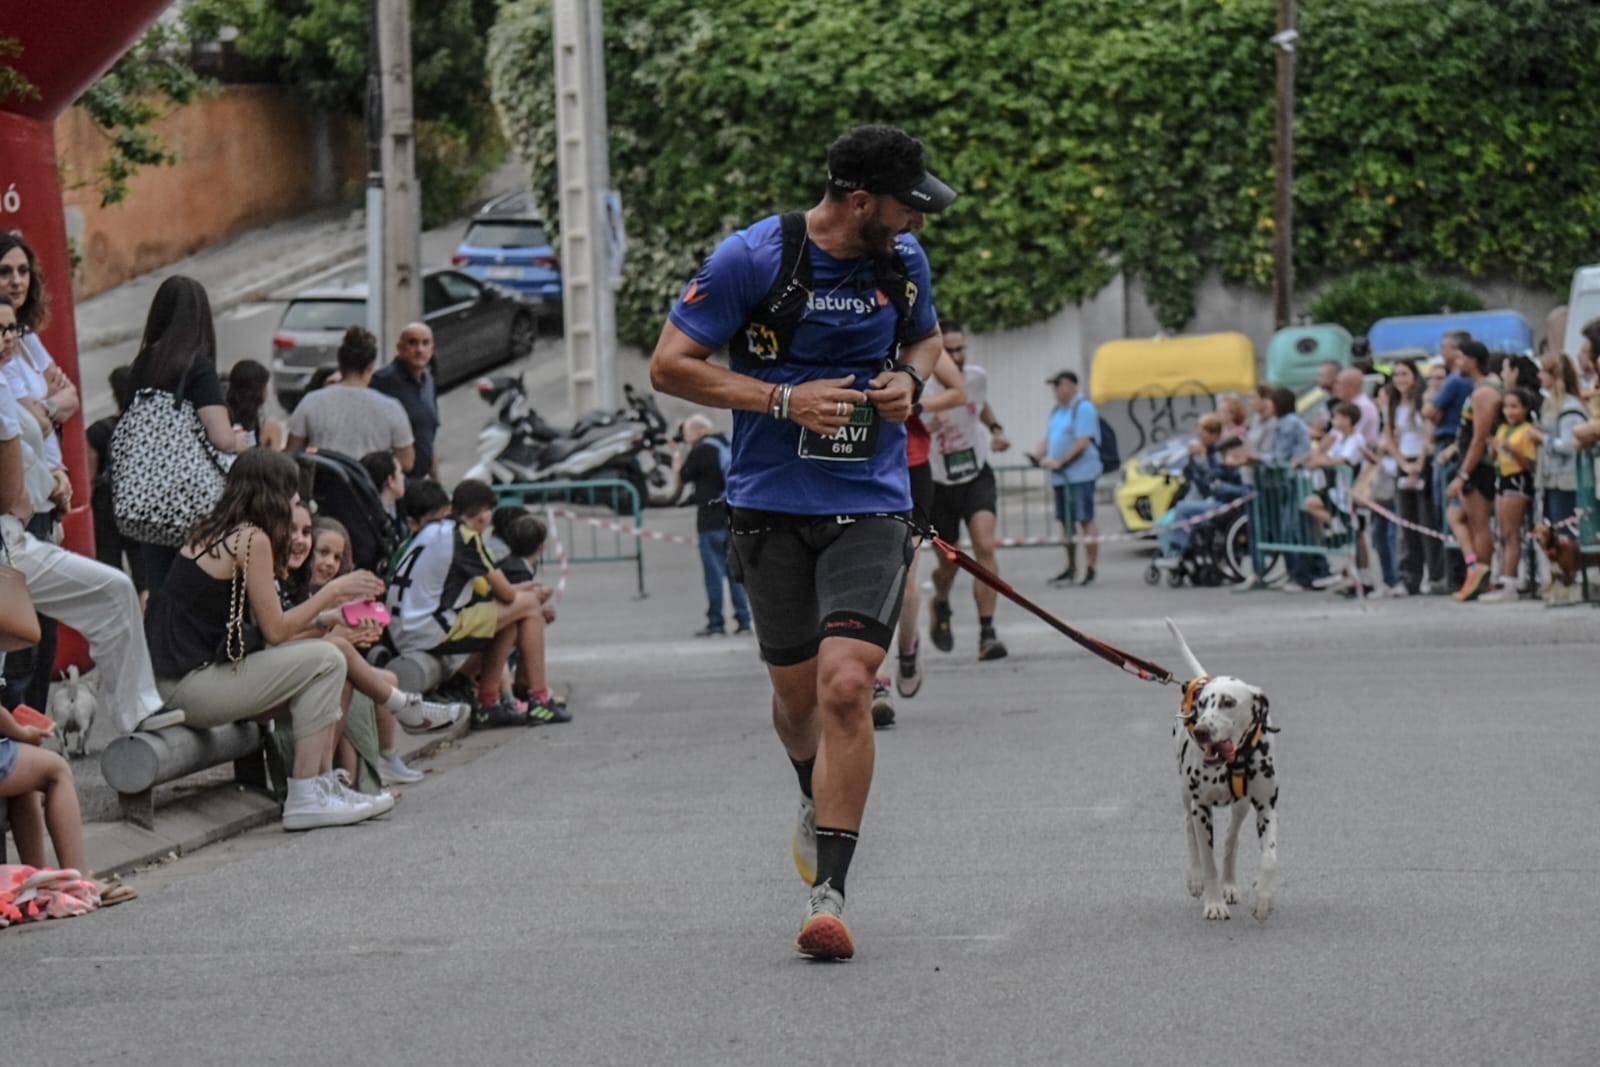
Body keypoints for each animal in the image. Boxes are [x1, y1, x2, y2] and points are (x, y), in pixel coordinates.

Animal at [1164, 620, 1273, 921]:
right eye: (1202, 705)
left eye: (1228, 702)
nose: (1201, 730)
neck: (1233, 761)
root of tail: (1202, 678)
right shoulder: (1202, 808)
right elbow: (1208, 860)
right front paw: (1213, 903)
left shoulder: (1266, 807)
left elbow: (1269, 858)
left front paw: (1263, 898)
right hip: (1186, 795)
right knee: (1189, 829)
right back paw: (1195, 879)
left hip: (1241, 808)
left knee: (1230, 841)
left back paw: (1230, 885)